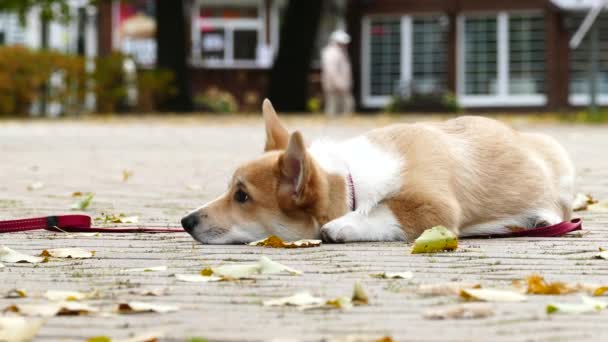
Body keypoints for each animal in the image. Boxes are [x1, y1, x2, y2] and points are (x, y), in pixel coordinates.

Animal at [182, 100, 576, 244]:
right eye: (230, 189)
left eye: (242, 195)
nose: (185, 221)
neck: (353, 181)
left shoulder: (434, 208)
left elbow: (382, 211)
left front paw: (342, 226)